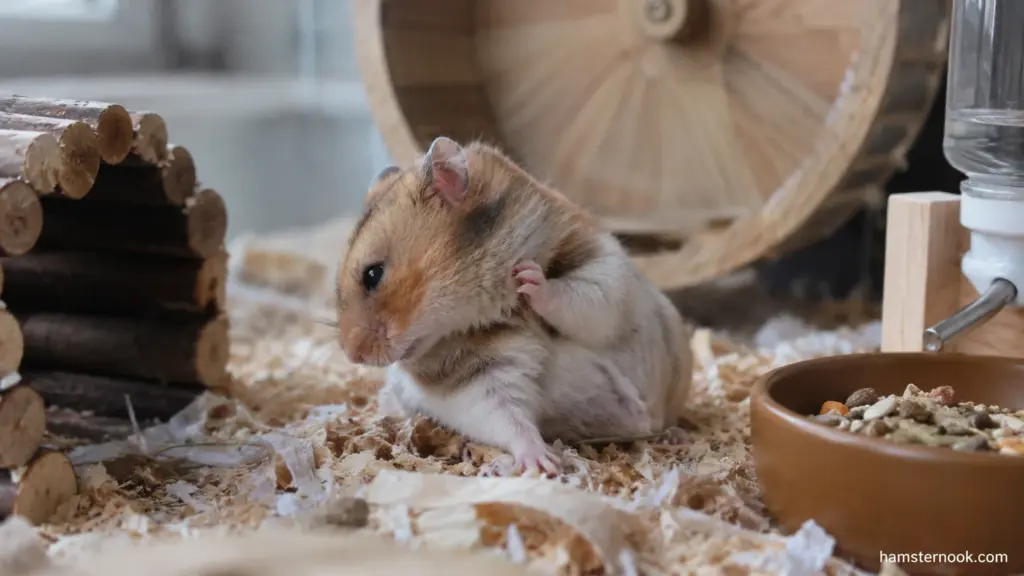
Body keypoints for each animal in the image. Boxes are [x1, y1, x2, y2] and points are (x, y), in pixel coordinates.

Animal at [335, 136, 693, 475]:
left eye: (373, 274)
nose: (353, 356)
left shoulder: (597, 269)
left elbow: (576, 297)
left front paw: (527, 277)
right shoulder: (474, 379)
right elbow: (507, 419)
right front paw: (545, 463)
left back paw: (675, 435)